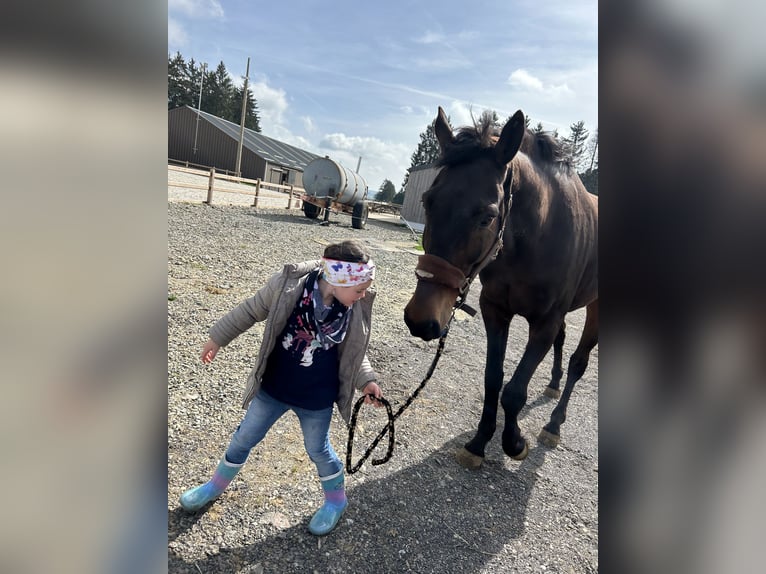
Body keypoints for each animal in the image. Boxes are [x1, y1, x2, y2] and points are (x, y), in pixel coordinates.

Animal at [404, 109, 596, 472]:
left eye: (487, 217)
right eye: (427, 201)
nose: (421, 319)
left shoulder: (544, 323)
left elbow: (515, 390)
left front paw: (514, 442)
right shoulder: (495, 310)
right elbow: (493, 378)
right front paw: (479, 442)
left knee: (579, 362)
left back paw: (554, 424)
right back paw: (552, 384)